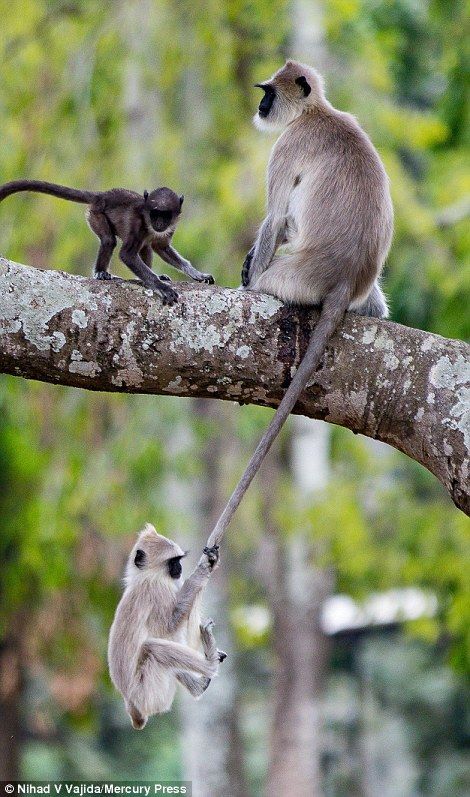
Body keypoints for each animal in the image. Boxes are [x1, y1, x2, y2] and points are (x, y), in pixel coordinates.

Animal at [0, 180, 214, 305]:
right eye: (155, 213)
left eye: (165, 215)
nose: (159, 223)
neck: (148, 221)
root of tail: (102, 195)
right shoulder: (137, 224)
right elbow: (126, 255)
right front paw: (161, 287)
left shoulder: (169, 228)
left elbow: (161, 247)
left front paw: (197, 274)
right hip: (96, 214)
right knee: (109, 240)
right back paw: (102, 272)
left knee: (146, 247)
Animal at [108, 524, 226, 729]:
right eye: (173, 561)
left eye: (178, 560)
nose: (179, 568)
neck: (145, 576)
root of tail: (131, 704)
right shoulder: (156, 589)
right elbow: (168, 627)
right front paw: (201, 573)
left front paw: (211, 563)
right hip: (148, 692)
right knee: (154, 647)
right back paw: (210, 664)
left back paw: (199, 685)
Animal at [205, 61, 394, 547]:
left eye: (268, 92)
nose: (260, 105)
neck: (316, 112)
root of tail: (345, 280)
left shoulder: (288, 144)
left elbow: (275, 216)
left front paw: (246, 282)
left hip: (293, 276)